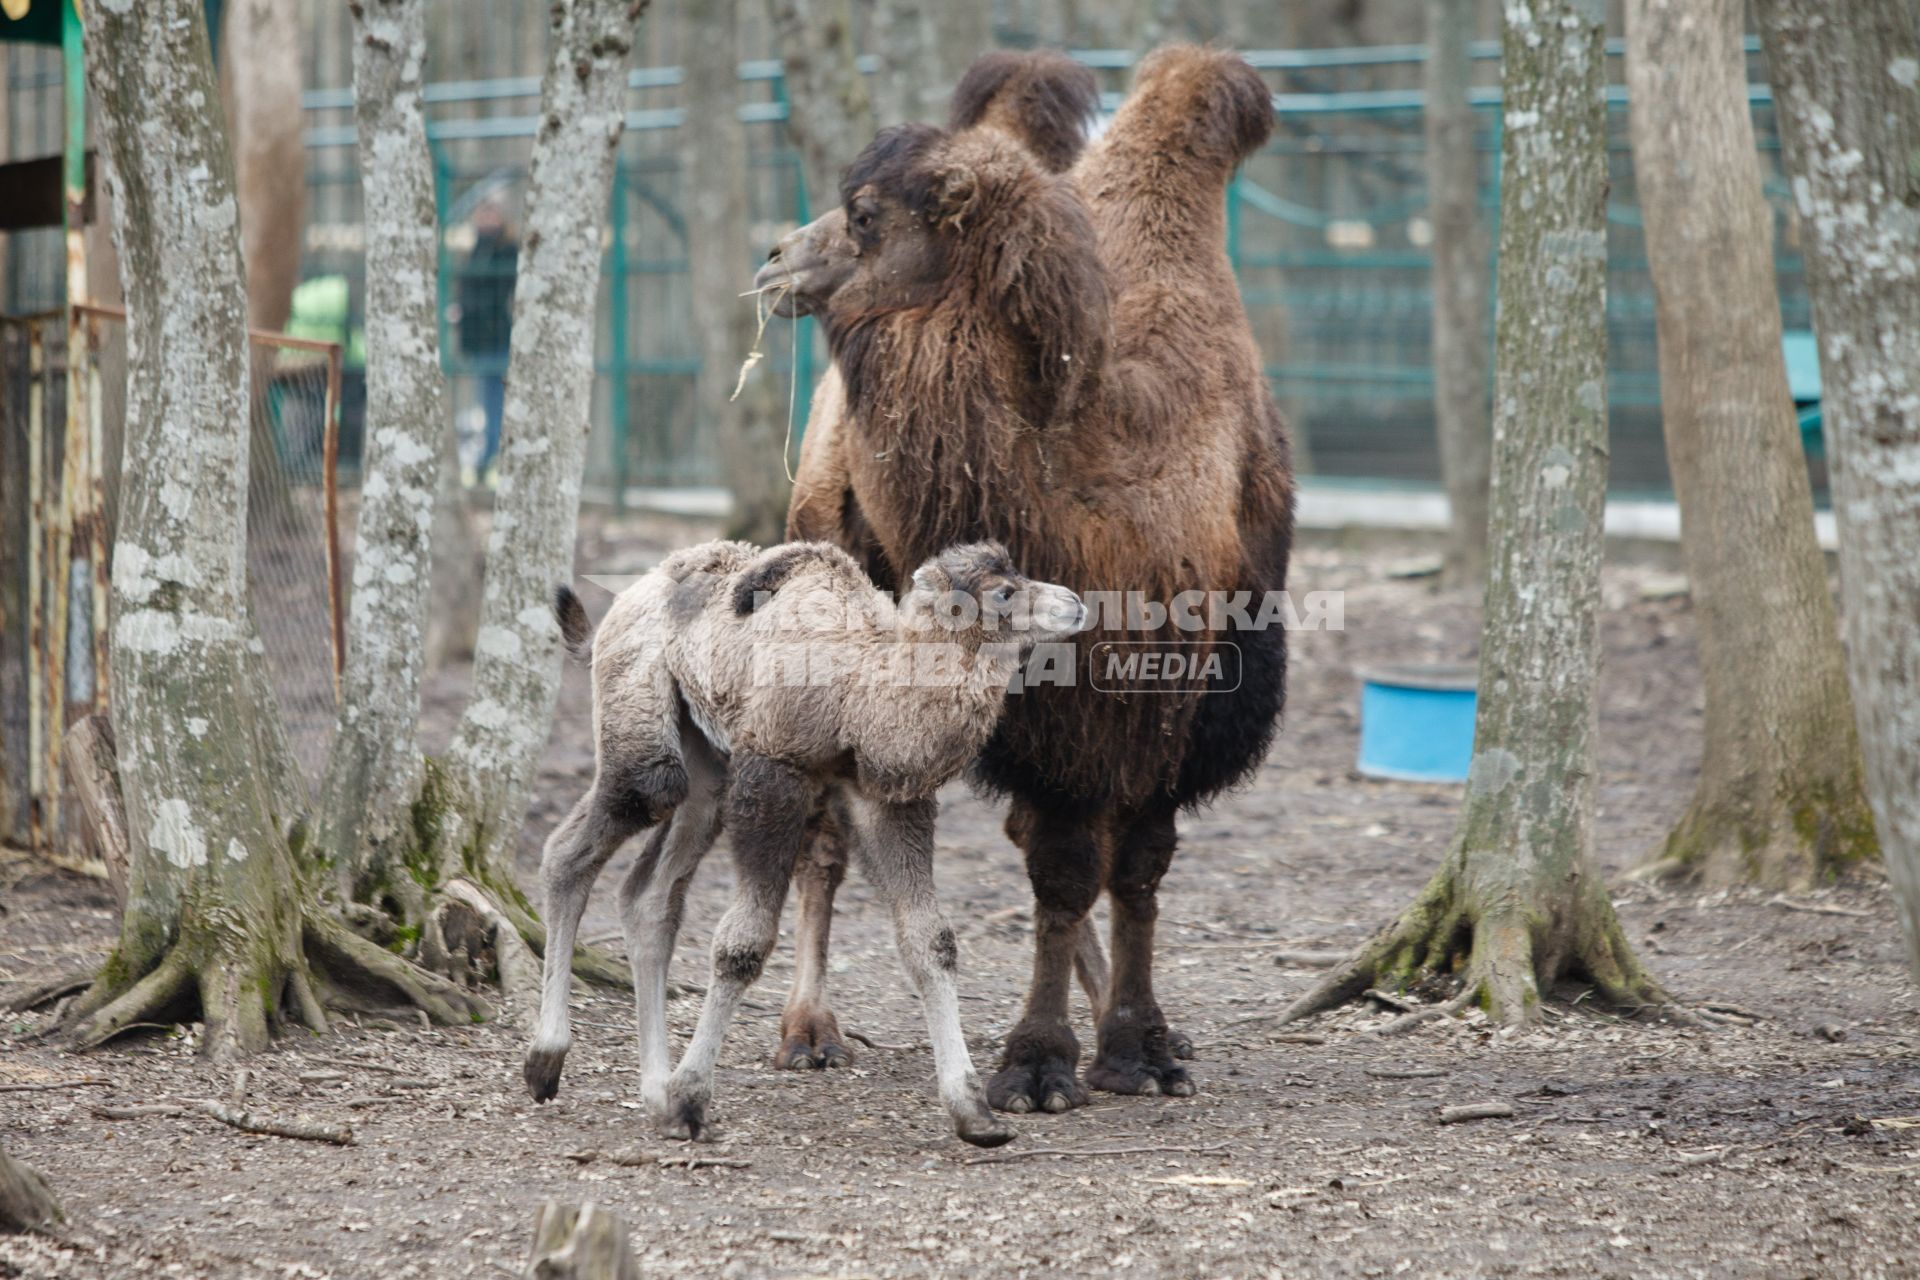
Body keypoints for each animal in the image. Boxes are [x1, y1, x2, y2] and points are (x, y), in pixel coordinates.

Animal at [526, 541, 1090, 1151]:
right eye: (1004, 591)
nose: (1076, 602)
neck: (859, 693)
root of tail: (624, 601)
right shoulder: (774, 767)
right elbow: (743, 944)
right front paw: (693, 1098)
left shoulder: (884, 797)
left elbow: (931, 940)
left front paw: (974, 1114)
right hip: (645, 732)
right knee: (577, 845)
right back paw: (547, 1063)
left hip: (709, 767)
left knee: (648, 895)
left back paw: (655, 1091)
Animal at [748, 47, 1290, 1113]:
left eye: (865, 213)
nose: (775, 261)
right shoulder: (1069, 710)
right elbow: (1068, 870)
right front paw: (1039, 1064)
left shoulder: (1173, 699)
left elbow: (1138, 870)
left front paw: (1139, 1044)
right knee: (828, 833)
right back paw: (806, 1030)